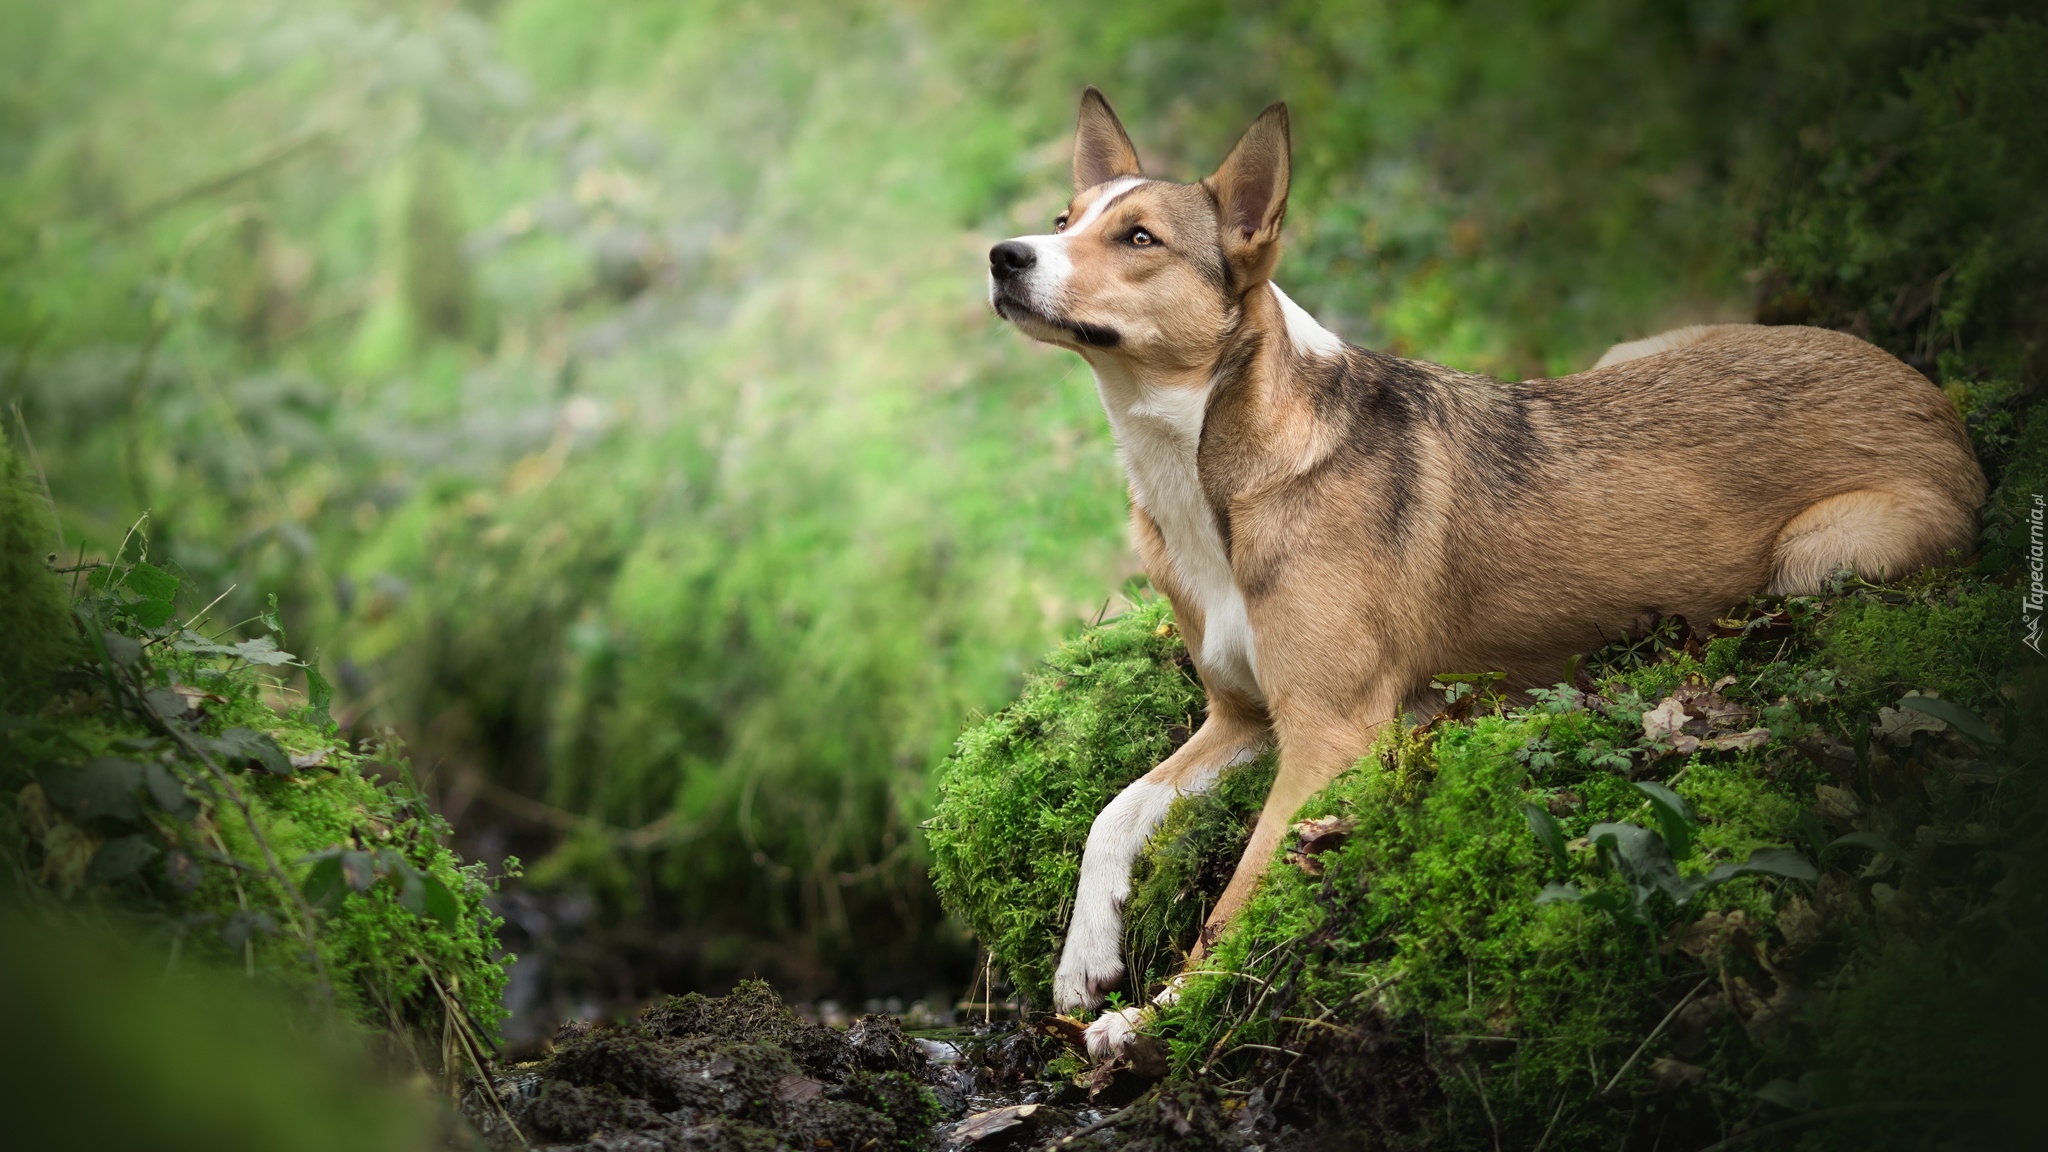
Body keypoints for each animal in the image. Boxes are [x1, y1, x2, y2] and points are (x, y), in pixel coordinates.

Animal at [987, 87, 1982, 1041]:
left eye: (1139, 238)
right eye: (1066, 218)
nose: (1003, 255)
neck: (1213, 465)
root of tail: (1927, 391)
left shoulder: (1328, 735)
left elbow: (1237, 896)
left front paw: (1164, 1014)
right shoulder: (1242, 717)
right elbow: (1113, 813)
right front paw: (1084, 961)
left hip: (1823, 553)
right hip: (1628, 355)